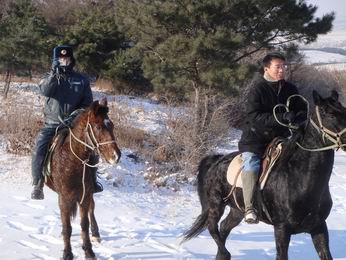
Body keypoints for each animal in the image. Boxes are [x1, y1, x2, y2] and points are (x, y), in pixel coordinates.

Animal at [45, 98, 121, 258]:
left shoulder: (84, 196)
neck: (72, 161)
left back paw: (96, 233)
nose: (116, 156)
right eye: (98, 127)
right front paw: (67, 253)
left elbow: (84, 224)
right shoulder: (64, 197)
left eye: (111, 125)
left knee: (92, 208)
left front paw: (89, 251)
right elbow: (67, 226)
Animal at [182, 90, 346, 260]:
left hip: (237, 210)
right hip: (216, 204)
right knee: (212, 227)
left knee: (224, 227)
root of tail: (216, 160)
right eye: (329, 114)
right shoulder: (281, 229)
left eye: (344, 110)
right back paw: (225, 253)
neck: (299, 179)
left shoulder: (319, 227)